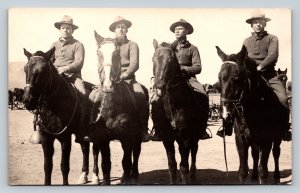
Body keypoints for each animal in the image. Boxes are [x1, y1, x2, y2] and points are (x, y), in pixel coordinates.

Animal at [22, 47, 99, 185]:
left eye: (43, 70)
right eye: (26, 68)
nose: (28, 100)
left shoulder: (65, 138)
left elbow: (64, 166)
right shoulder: (46, 138)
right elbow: (47, 166)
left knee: (95, 151)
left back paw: (95, 177)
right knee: (85, 148)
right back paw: (83, 175)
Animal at [152, 40, 209, 185]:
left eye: (171, 60)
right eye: (153, 59)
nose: (159, 86)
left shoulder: (185, 137)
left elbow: (184, 165)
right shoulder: (167, 137)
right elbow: (172, 164)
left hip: (195, 136)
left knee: (193, 153)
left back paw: (193, 176)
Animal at [216, 45, 288, 184]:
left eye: (236, 77)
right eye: (219, 77)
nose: (225, 113)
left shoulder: (267, 140)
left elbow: (263, 171)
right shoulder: (241, 139)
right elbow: (243, 170)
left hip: (277, 138)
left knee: (276, 153)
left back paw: (276, 177)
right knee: (255, 155)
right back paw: (254, 176)